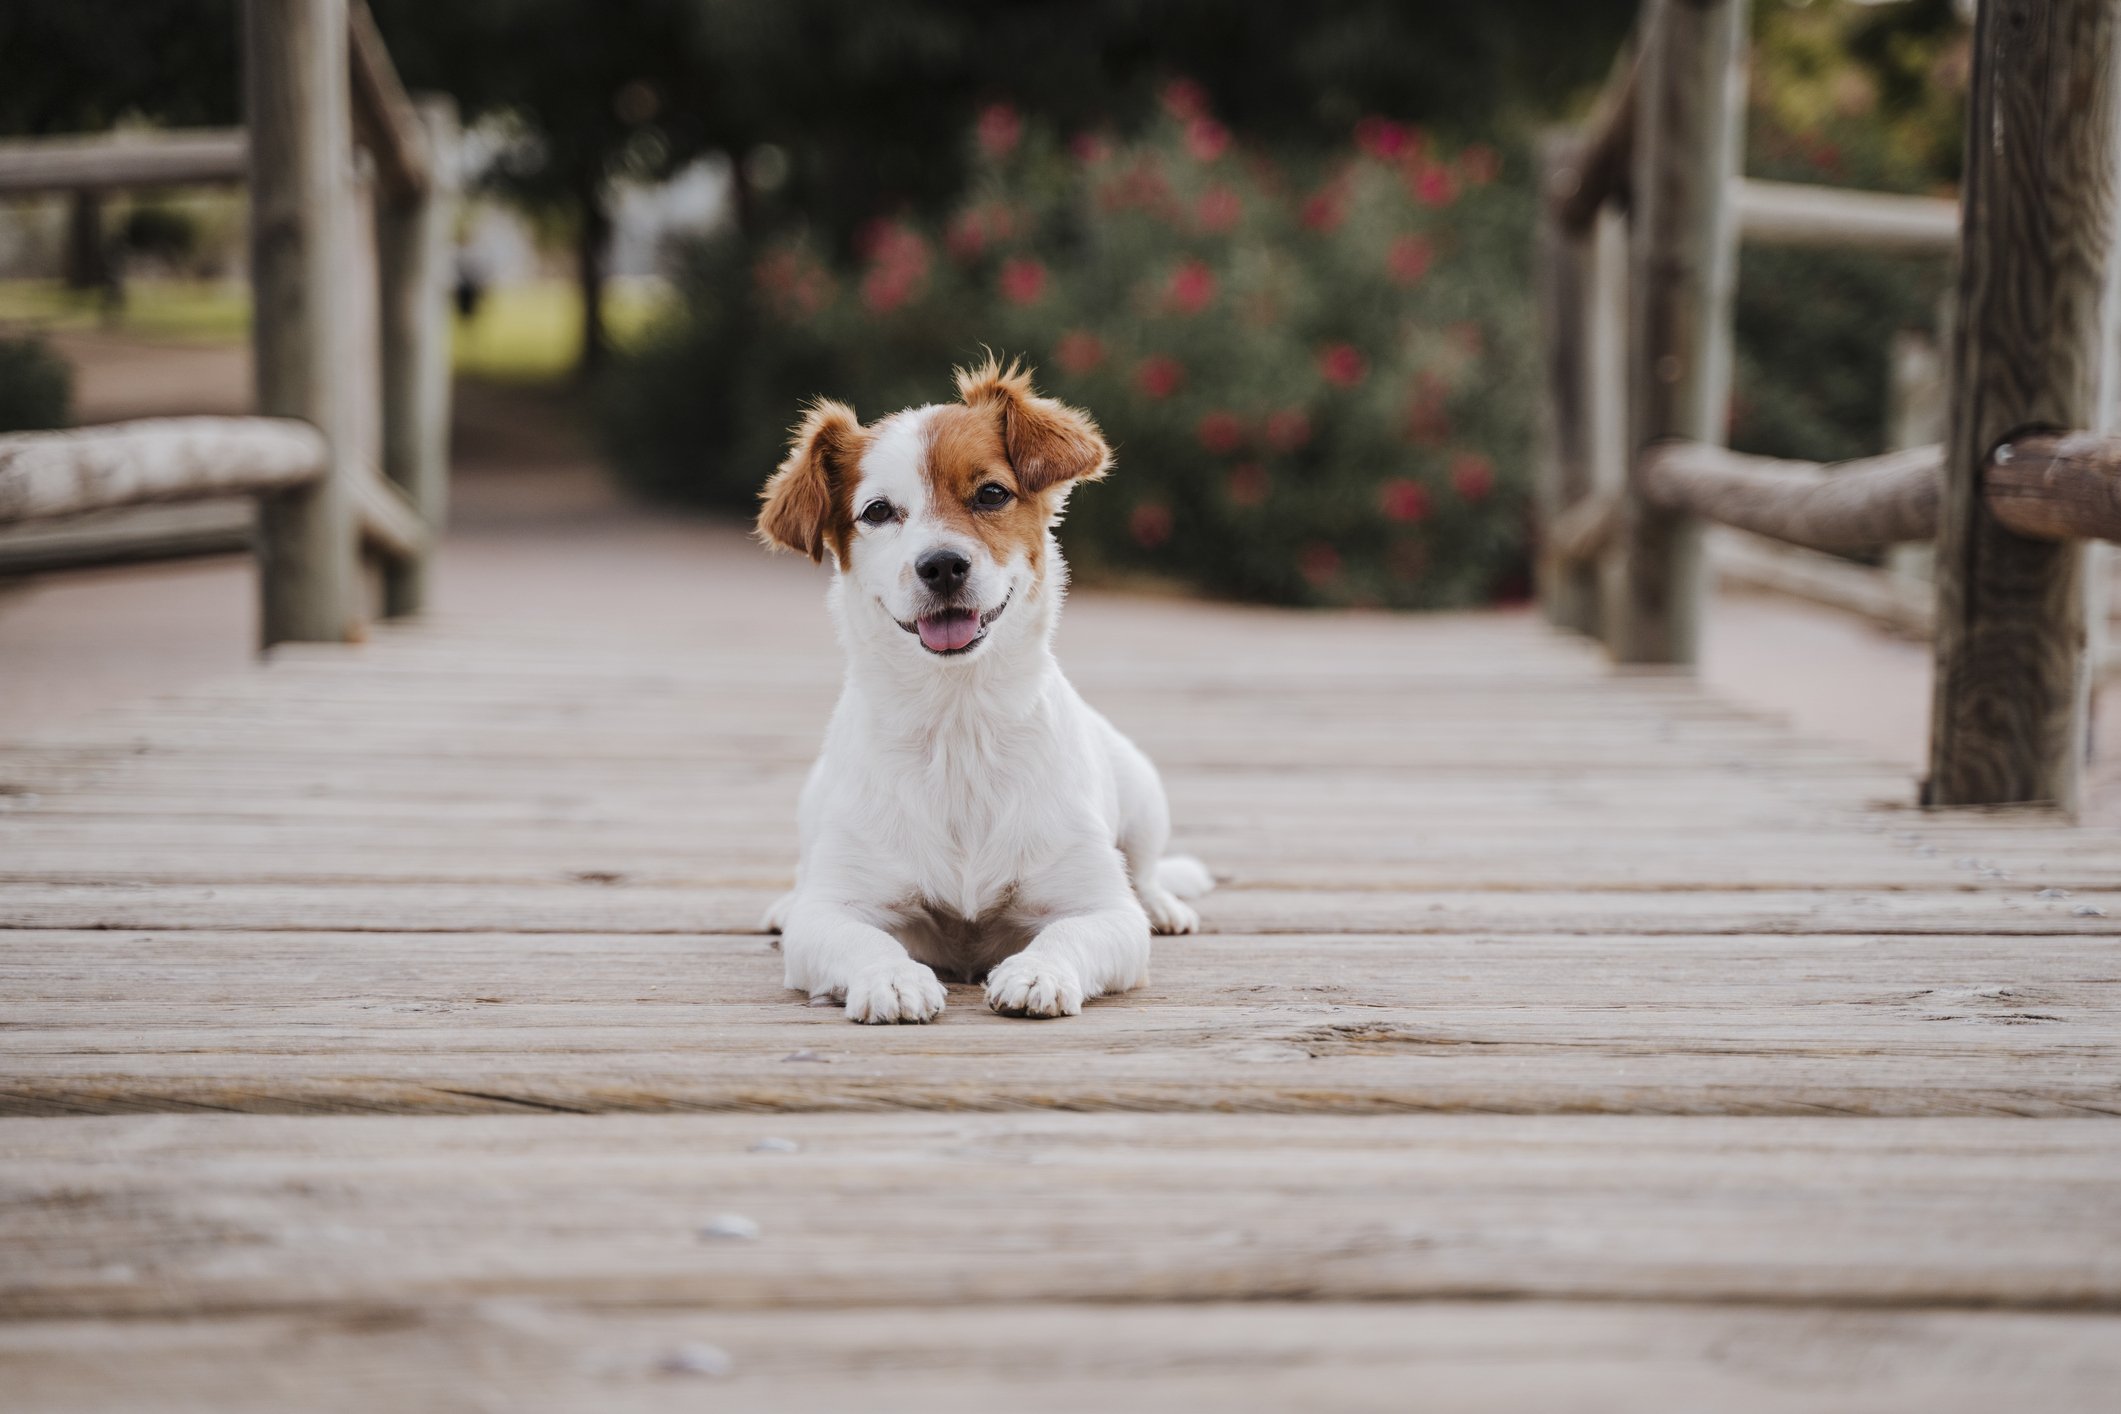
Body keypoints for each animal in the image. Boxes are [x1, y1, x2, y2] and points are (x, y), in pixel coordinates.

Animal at [755, 354, 1213, 1021]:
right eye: (877, 512)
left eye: (992, 493)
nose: (942, 565)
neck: (959, 724)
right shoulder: (832, 912)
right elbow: (861, 938)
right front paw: (893, 978)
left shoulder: (1103, 910)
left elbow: (1070, 933)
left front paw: (1037, 972)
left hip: (1142, 790)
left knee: (1146, 870)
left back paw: (1162, 904)